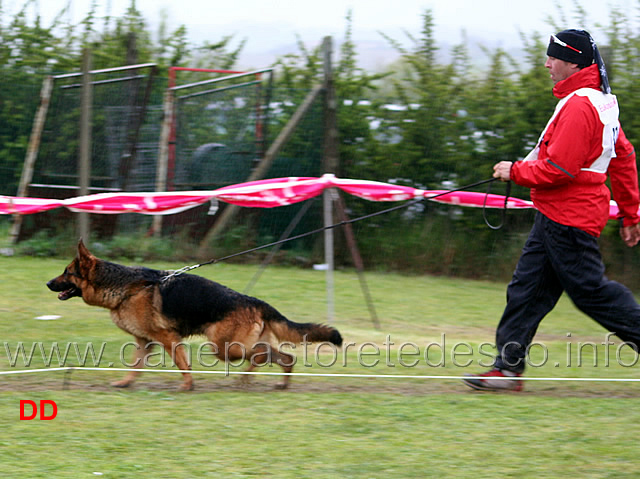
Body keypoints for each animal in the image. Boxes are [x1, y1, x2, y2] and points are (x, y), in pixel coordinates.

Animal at [47, 242, 342, 392]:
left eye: (66, 272)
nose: (48, 283)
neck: (126, 287)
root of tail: (256, 302)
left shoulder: (167, 338)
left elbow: (182, 364)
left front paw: (187, 387)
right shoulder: (145, 341)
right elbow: (135, 366)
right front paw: (125, 383)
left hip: (224, 347)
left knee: (259, 355)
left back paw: (247, 378)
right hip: (234, 346)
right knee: (283, 357)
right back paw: (277, 382)